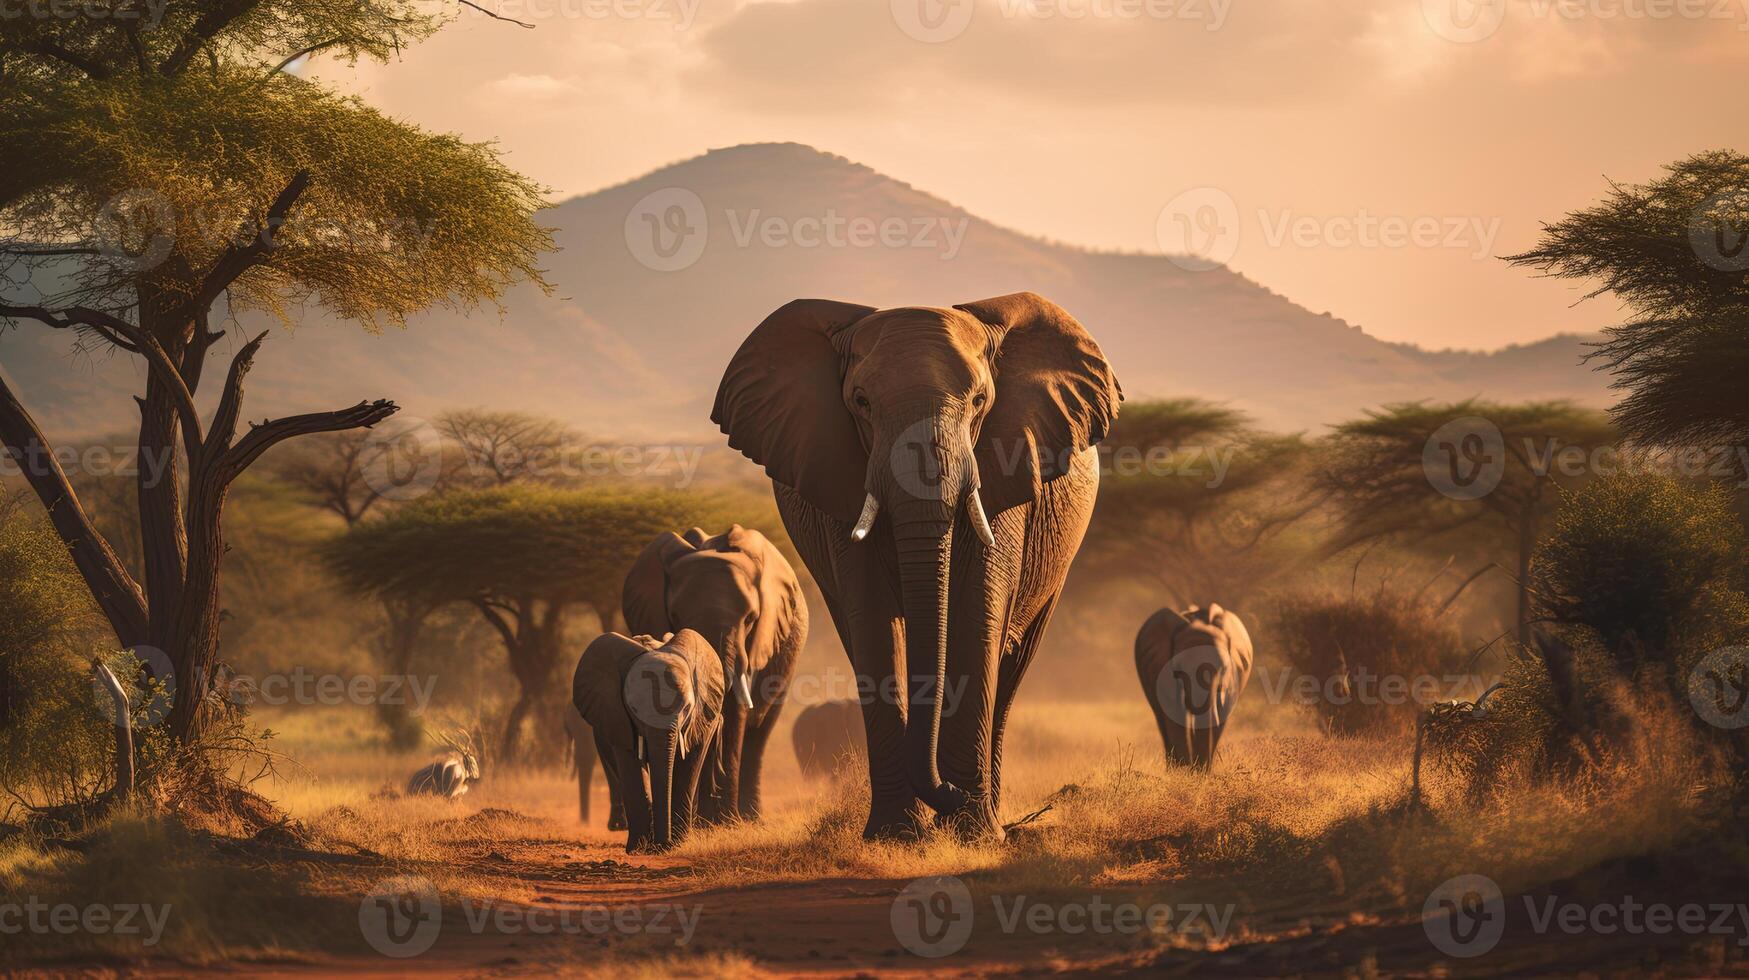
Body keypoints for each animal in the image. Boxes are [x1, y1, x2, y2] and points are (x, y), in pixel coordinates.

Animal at [573, 626, 724, 850]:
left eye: (687, 708)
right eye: (634, 709)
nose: (663, 844)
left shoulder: (701, 717)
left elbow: (689, 764)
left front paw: (677, 844)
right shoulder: (616, 717)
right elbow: (630, 764)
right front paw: (639, 848)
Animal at [622, 525, 804, 822]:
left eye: (751, 619)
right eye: (676, 616)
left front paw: (725, 823)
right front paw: (705, 823)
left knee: (760, 730)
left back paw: (748, 818)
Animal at [710, 290, 1119, 843]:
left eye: (979, 402)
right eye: (861, 403)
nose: (949, 794)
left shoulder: (1007, 465)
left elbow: (976, 615)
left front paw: (970, 833)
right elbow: (873, 622)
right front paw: (897, 834)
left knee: (1012, 665)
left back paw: (989, 817)